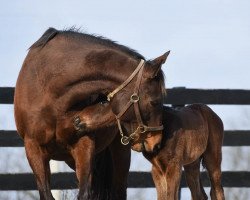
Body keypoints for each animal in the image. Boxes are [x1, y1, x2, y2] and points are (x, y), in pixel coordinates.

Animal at [14, 27, 170, 199]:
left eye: (104, 98)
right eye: (154, 102)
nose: (156, 143)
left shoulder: (84, 144)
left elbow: (84, 193)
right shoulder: (33, 148)